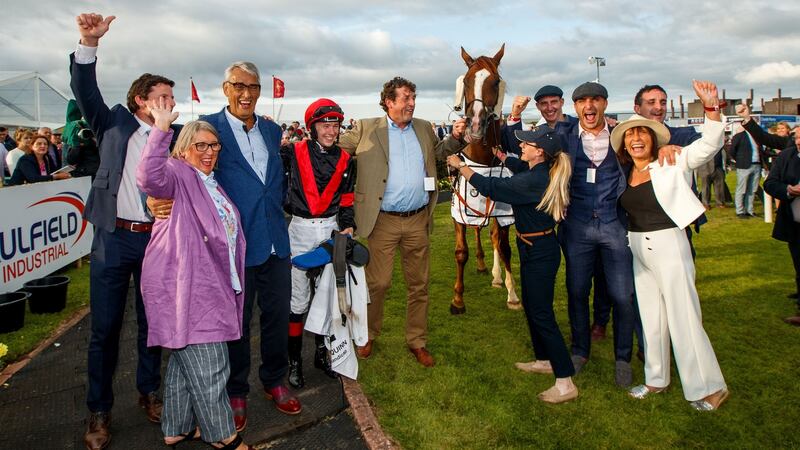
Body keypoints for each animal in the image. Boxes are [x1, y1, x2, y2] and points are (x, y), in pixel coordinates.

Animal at [450, 44, 520, 314]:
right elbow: (461, 251)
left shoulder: (504, 210)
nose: (476, 124)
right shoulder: (459, 209)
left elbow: (505, 247)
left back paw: (496, 276)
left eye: (496, 81)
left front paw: (513, 295)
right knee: (478, 231)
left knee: (492, 237)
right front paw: (457, 299)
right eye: (467, 80)